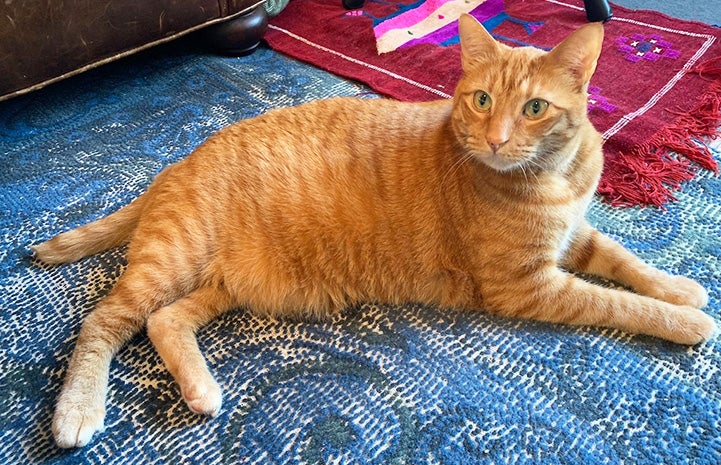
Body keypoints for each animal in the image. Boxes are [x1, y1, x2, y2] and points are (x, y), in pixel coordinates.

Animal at [33, 14, 716, 448]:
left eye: (534, 109)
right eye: (481, 100)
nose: (496, 141)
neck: (553, 178)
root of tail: (175, 165)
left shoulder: (575, 237)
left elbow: (626, 262)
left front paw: (681, 288)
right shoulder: (529, 285)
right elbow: (616, 303)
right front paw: (688, 322)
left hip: (220, 285)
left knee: (163, 321)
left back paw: (201, 390)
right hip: (171, 259)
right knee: (105, 321)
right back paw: (78, 410)